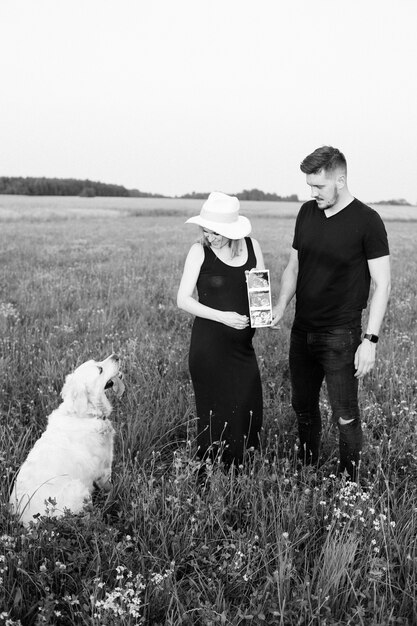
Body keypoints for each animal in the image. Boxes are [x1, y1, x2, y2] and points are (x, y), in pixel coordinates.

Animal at [9, 354, 123, 524]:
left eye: (97, 361)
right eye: (100, 369)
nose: (116, 355)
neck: (84, 415)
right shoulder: (103, 469)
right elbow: (111, 487)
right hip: (79, 490)